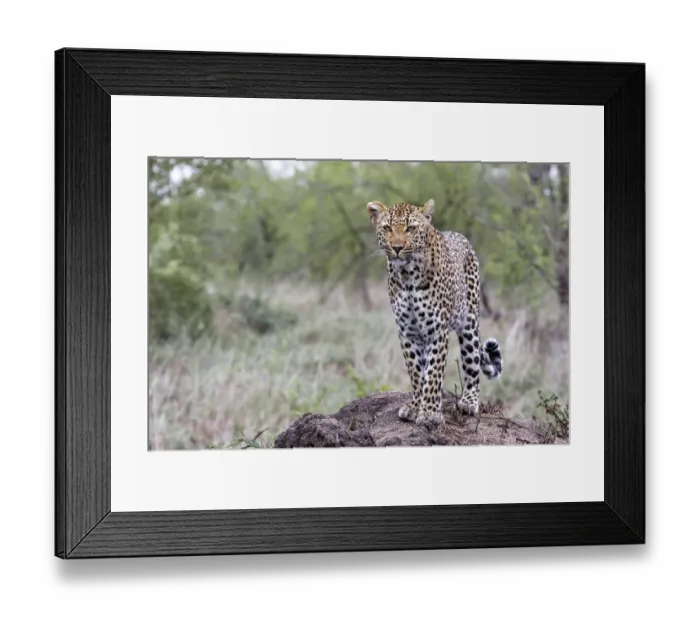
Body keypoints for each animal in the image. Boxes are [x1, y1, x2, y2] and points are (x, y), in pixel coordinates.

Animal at [367, 198, 503, 428]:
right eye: (387, 228)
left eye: (411, 228)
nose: (397, 247)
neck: (407, 275)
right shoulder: (407, 332)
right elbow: (416, 373)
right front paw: (415, 407)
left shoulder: (437, 330)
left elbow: (434, 373)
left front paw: (430, 413)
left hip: (469, 321)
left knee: (472, 363)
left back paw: (469, 402)